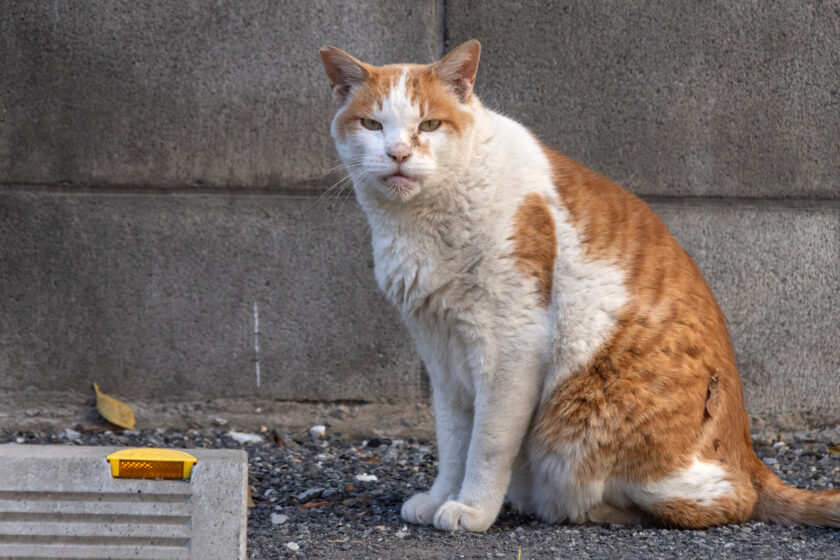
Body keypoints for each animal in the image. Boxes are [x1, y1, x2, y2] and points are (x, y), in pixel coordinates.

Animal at [318, 40, 836, 532]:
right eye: (371, 124)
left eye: (428, 125)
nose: (398, 153)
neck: (421, 224)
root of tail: (749, 450)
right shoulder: (441, 354)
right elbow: (452, 440)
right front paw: (442, 496)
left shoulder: (511, 345)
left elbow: (486, 444)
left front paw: (472, 508)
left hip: (587, 419)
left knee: (724, 500)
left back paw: (588, 510)